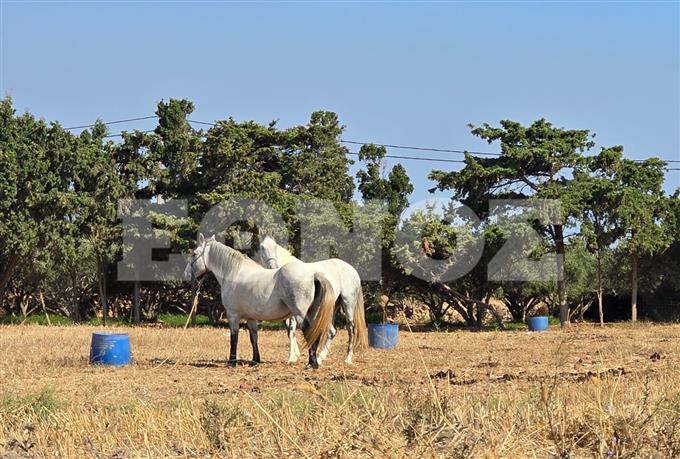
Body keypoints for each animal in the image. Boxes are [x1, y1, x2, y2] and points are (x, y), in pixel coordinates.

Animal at [184, 234, 335, 368]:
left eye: (194, 254)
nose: (186, 274)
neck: (234, 272)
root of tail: (313, 274)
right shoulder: (251, 318)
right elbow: (254, 338)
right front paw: (256, 360)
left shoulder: (233, 315)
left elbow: (234, 338)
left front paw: (232, 362)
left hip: (300, 314)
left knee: (309, 332)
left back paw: (312, 363)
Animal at [254, 235, 368, 364]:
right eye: (262, 247)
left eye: (274, 246)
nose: (273, 266)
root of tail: (352, 270)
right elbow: (289, 331)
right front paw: (296, 355)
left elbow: (292, 330)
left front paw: (292, 357)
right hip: (332, 307)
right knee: (332, 331)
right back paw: (320, 357)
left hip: (348, 304)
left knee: (351, 328)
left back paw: (348, 358)